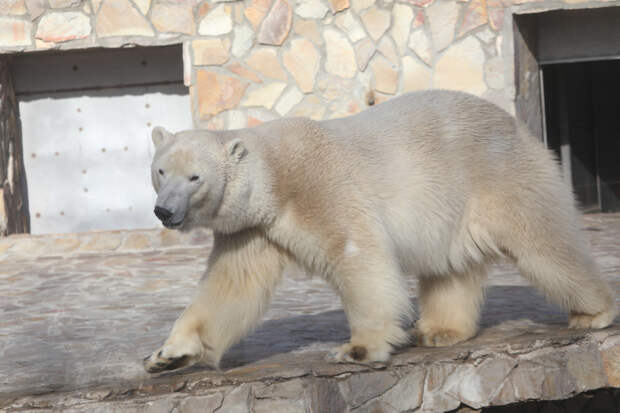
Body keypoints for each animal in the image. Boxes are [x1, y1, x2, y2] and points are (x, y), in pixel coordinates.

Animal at [144, 90, 616, 374]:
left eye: (195, 178)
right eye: (161, 170)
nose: (164, 211)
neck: (276, 177)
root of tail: (517, 125)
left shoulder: (321, 189)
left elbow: (358, 256)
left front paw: (357, 348)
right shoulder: (253, 226)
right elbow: (229, 287)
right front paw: (167, 354)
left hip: (500, 175)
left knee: (545, 242)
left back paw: (593, 312)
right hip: (451, 207)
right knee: (449, 266)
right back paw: (439, 331)